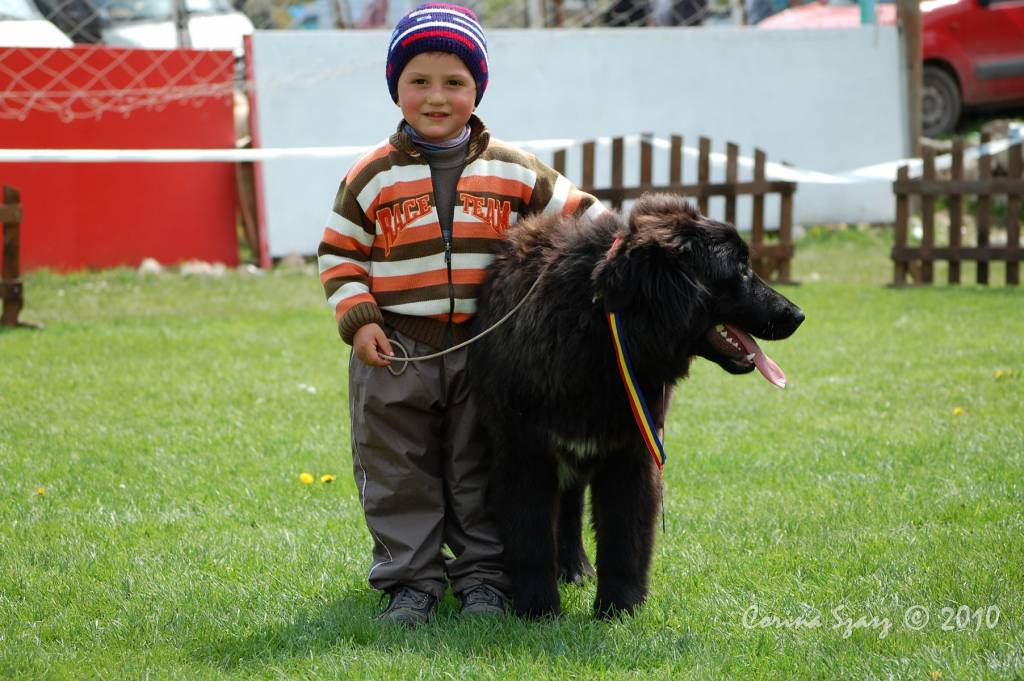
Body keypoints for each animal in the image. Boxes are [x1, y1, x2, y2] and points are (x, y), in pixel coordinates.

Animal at [468, 192, 804, 619]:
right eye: (741, 269)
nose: (798, 314)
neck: (597, 327)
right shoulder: (523, 453)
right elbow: (531, 539)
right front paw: (539, 609)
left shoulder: (630, 453)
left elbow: (623, 538)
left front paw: (618, 609)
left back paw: (575, 568)